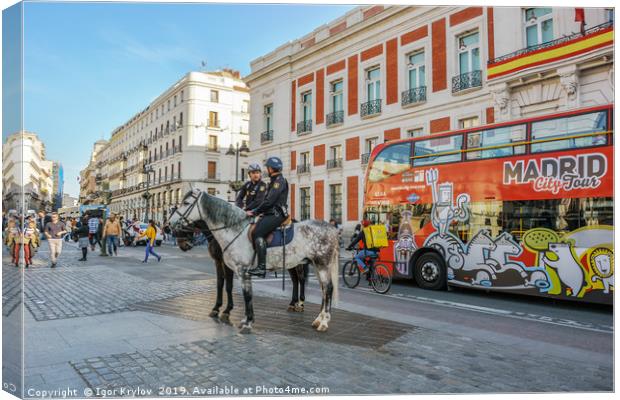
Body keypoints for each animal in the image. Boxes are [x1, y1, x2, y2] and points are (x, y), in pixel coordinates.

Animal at [168, 189, 340, 332]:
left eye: (186, 203)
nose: (169, 225)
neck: (234, 230)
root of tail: (331, 228)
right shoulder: (232, 267)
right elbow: (238, 291)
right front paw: (242, 318)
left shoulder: (241, 270)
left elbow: (242, 293)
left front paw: (243, 320)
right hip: (314, 264)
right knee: (320, 288)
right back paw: (316, 317)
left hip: (322, 264)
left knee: (327, 288)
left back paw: (323, 321)